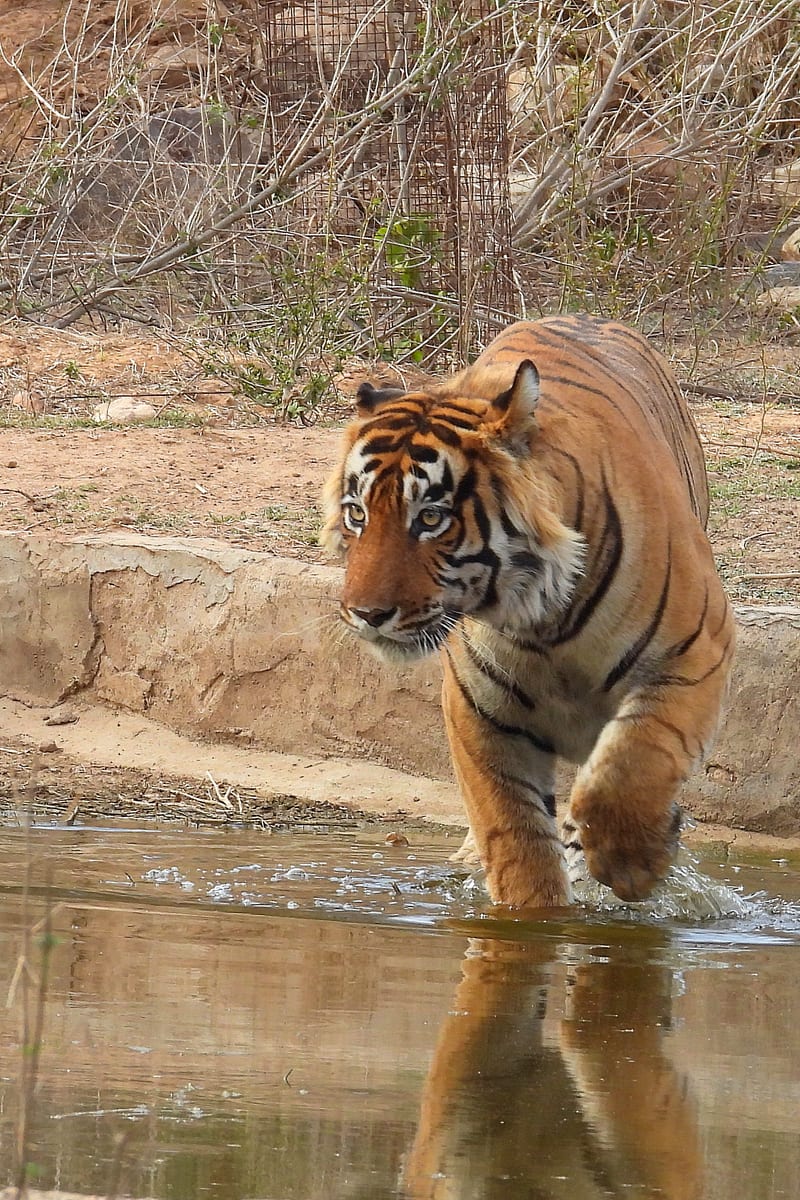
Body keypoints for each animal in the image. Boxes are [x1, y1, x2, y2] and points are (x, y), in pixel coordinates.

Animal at [321, 314, 735, 907]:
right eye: (357, 514)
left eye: (430, 518)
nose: (365, 613)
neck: (548, 622)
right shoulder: (481, 711)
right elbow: (517, 846)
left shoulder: (694, 653)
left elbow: (630, 770)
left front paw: (634, 865)